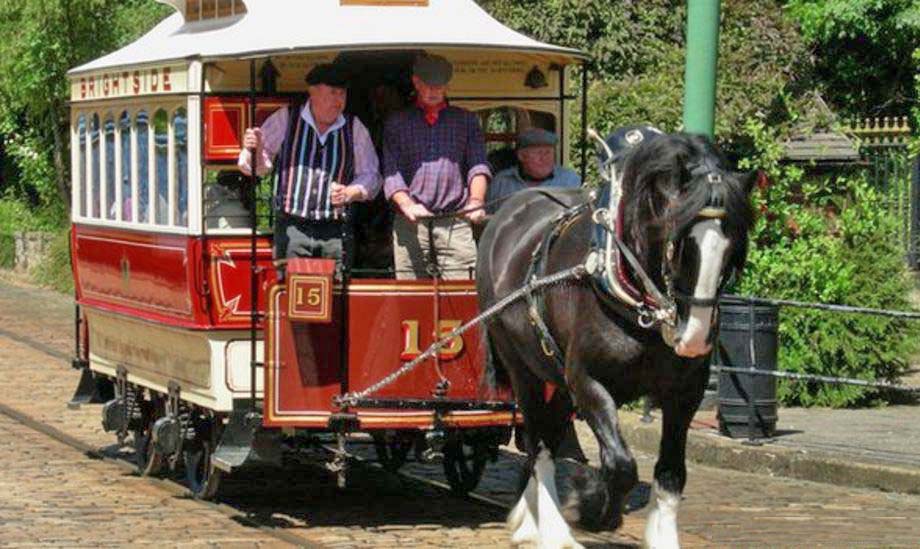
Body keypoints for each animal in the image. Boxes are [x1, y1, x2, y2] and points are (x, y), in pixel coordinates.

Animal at [478, 131, 752, 544]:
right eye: (678, 244)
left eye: (734, 246)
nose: (693, 337)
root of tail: (507, 213)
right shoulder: (586, 380)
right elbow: (621, 465)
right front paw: (594, 511)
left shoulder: (685, 391)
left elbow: (671, 473)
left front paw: (660, 536)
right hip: (523, 369)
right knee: (538, 442)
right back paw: (552, 531)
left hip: (554, 375)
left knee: (547, 435)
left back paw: (532, 517)